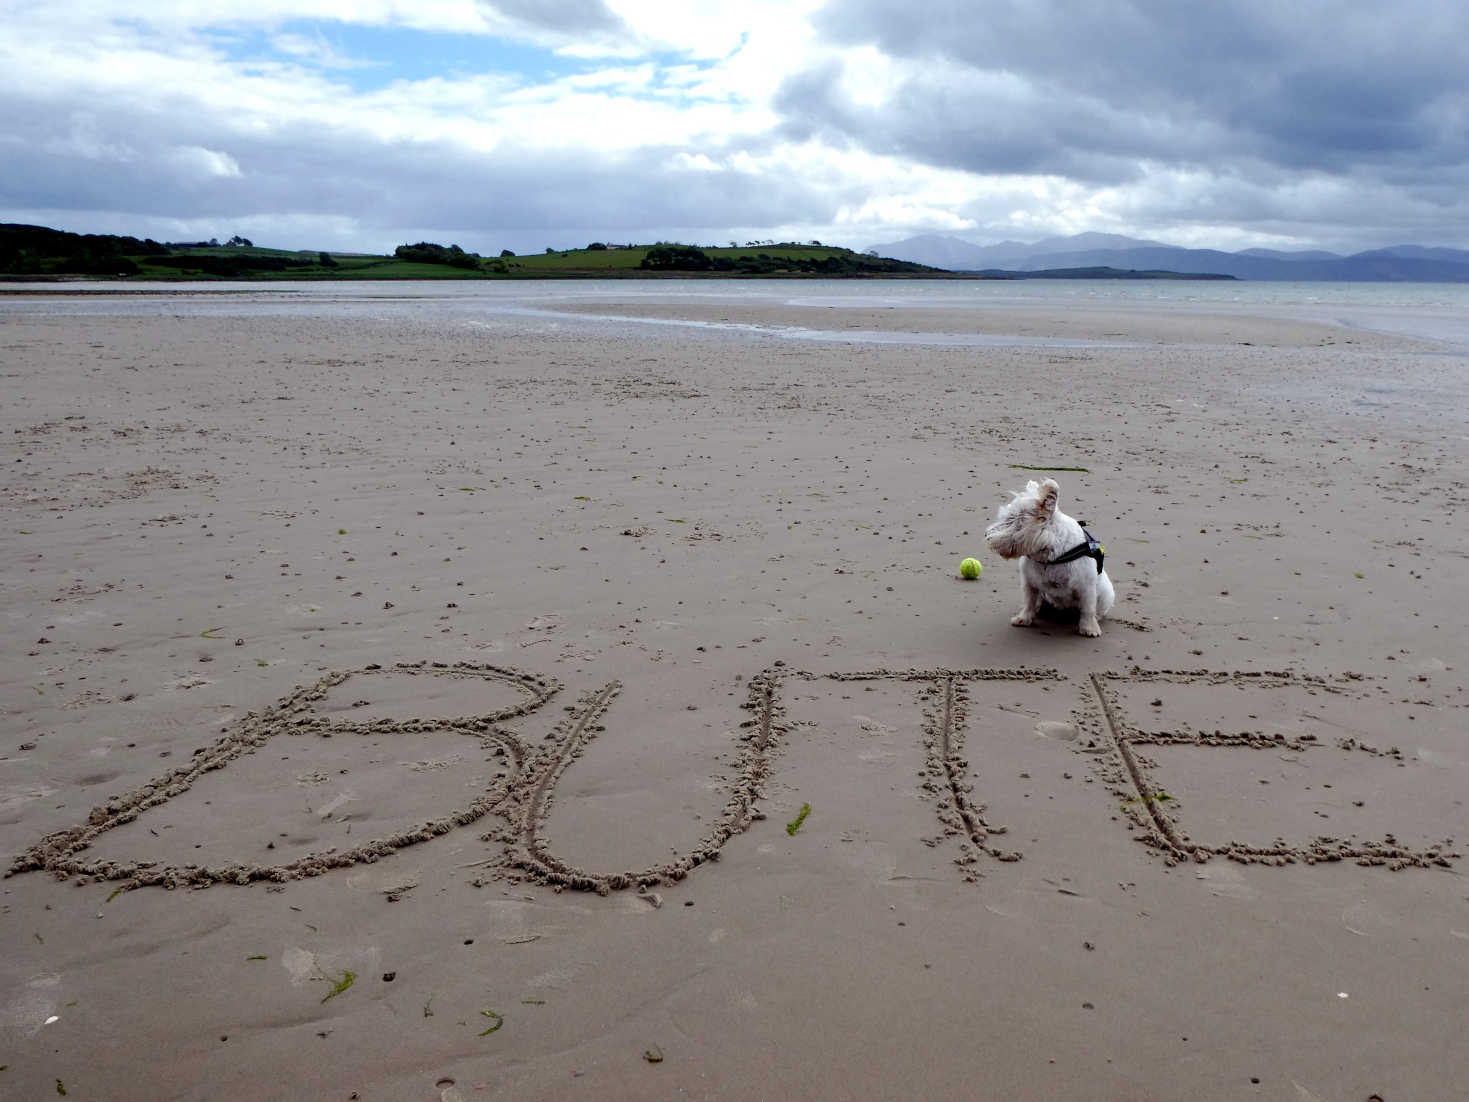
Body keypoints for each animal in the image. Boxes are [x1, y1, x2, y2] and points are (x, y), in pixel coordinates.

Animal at [987, 476, 1110, 637]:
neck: (1049, 555)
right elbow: (1029, 602)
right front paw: (1023, 618)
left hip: (1106, 594)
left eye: (1011, 520)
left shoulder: (1086, 586)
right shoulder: (1029, 583)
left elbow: (1088, 608)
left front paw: (1089, 628)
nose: (987, 536)